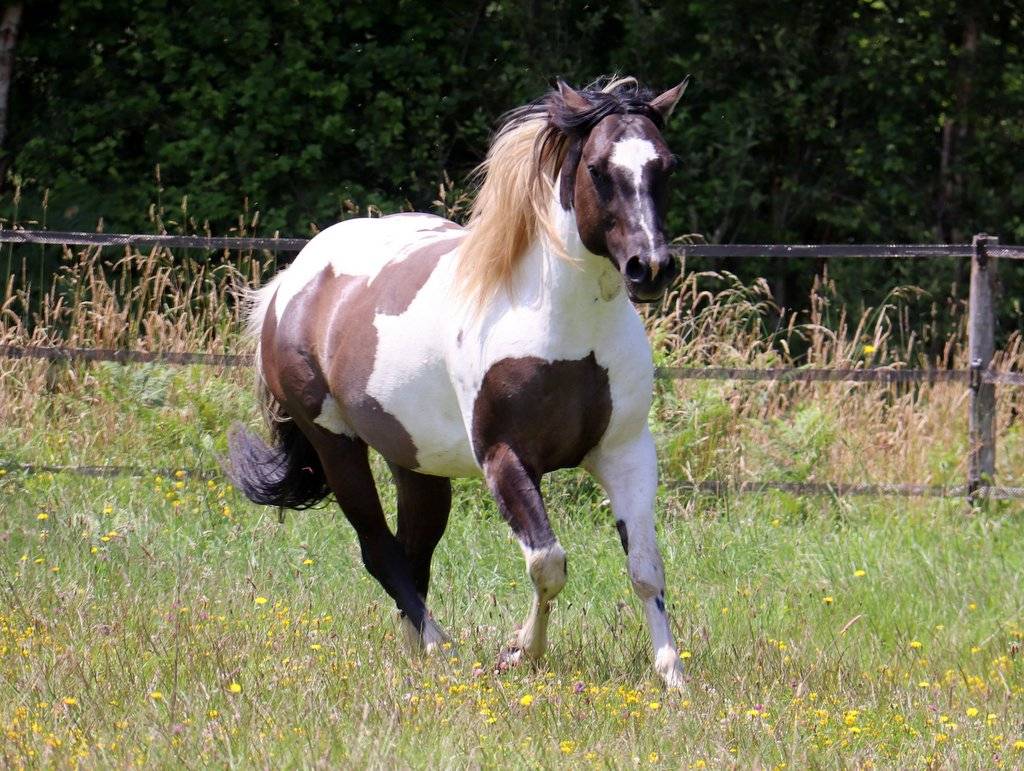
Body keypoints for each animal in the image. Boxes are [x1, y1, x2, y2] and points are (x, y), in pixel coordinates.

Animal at [226, 76, 690, 688]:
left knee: (413, 551)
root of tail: (290, 282)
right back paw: (437, 648)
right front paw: (519, 653)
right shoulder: (504, 458)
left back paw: (415, 648)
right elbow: (549, 563)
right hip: (336, 445)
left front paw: (674, 676)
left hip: (417, 463)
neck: (567, 328)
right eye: (596, 169)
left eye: (666, 166)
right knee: (379, 550)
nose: (650, 267)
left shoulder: (626, 453)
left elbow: (645, 570)